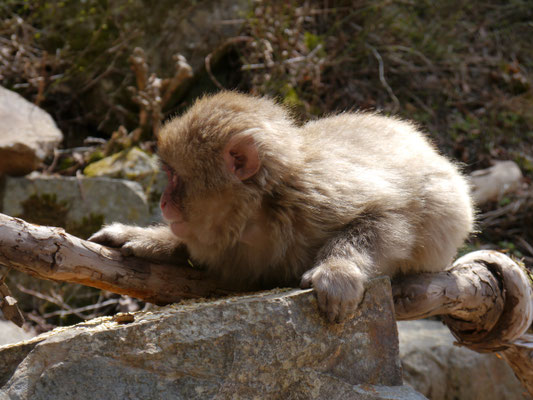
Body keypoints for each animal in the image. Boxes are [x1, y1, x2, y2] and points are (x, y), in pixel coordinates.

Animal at [88, 91, 474, 322]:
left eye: (173, 176)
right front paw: (147, 239)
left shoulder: (316, 196)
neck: (258, 211)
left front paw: (337, 270)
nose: (164, 201)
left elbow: (389, 215)